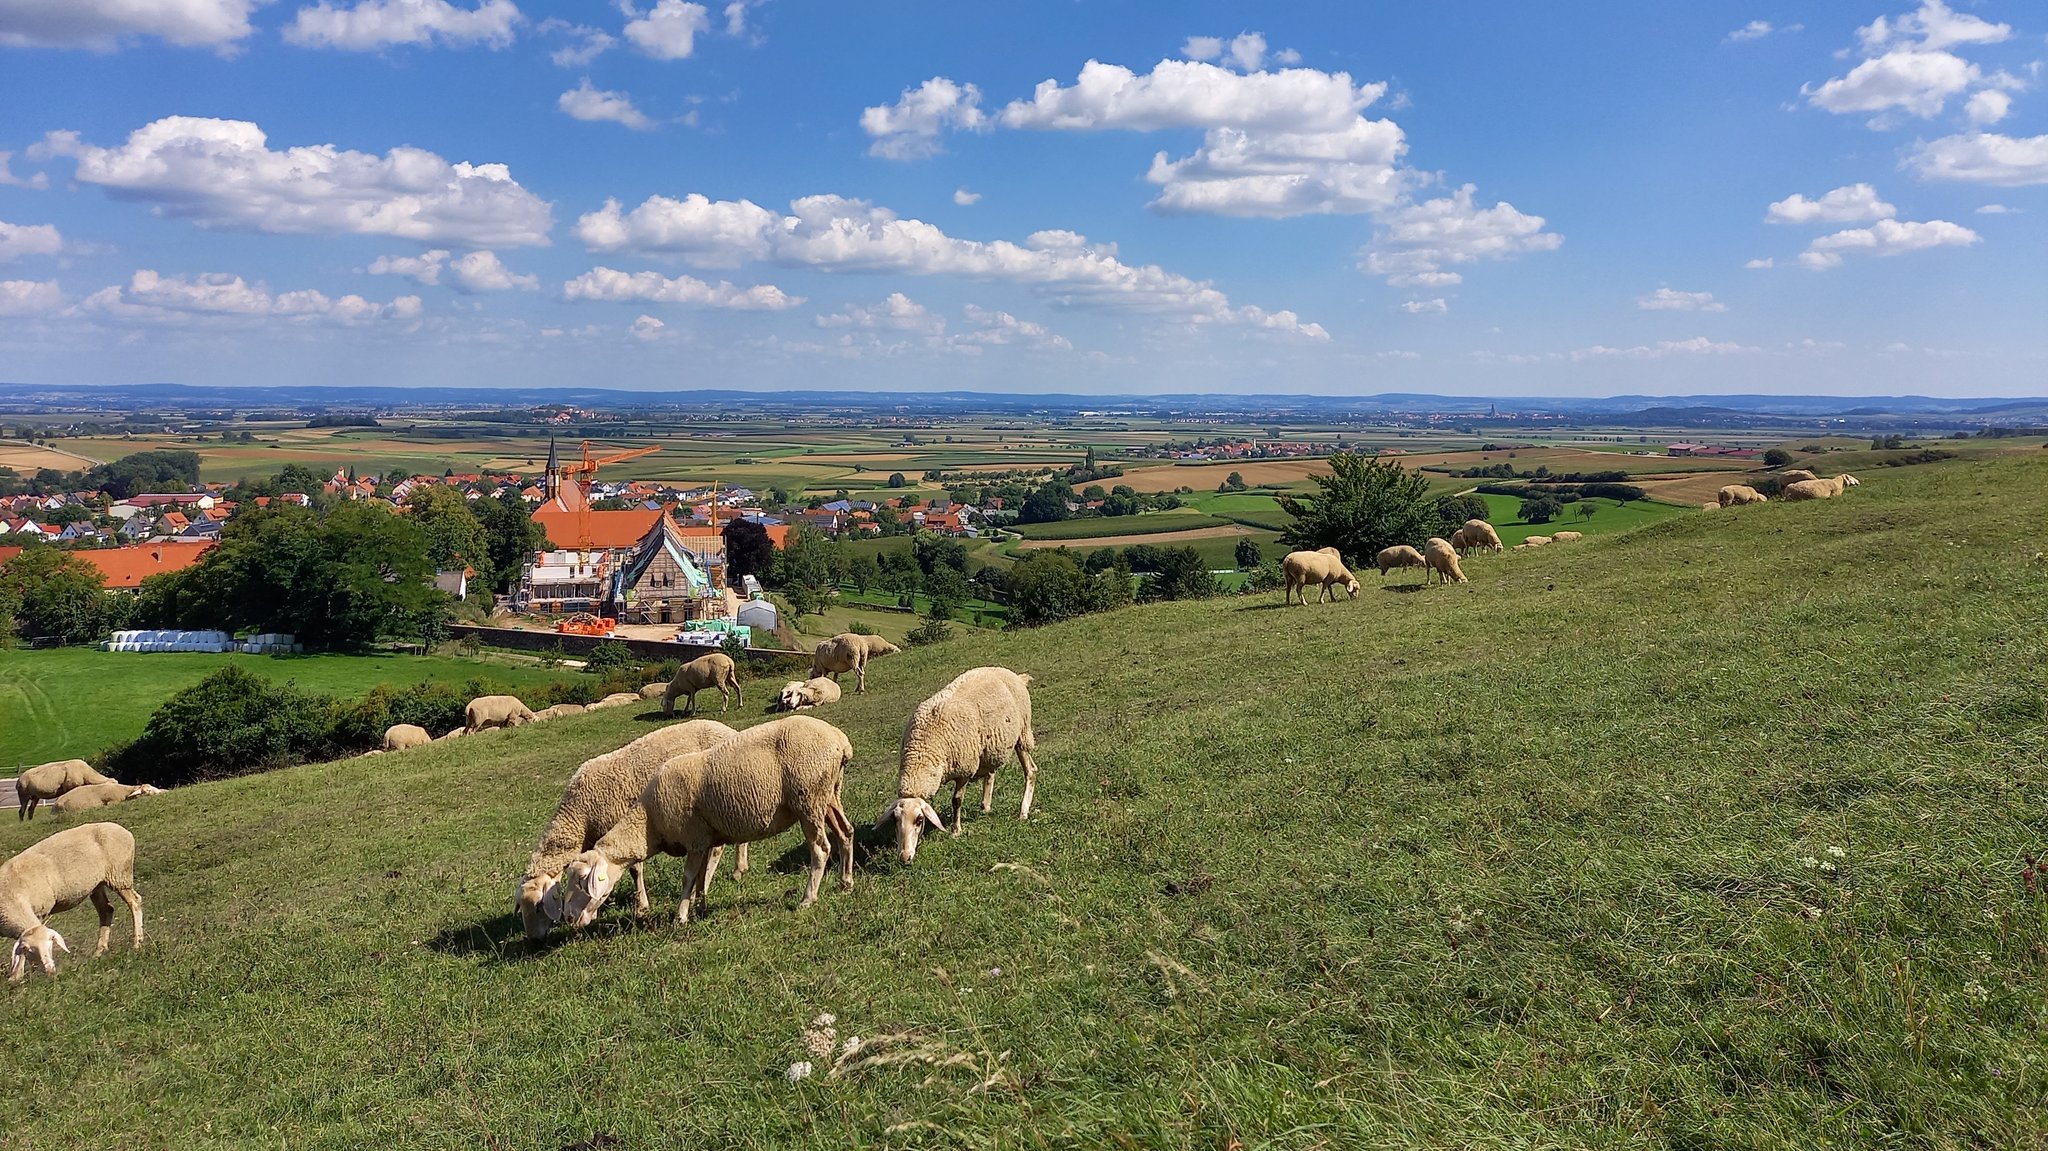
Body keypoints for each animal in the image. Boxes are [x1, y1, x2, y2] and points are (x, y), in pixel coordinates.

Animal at [1, 819, 143, 983]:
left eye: (51, 944)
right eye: (30, 949)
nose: (51, 971)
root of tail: (124, 831)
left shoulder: (40, 911)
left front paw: (16, 976)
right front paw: (16, 975)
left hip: (119, 875)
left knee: (134, 902)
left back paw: (137, 943)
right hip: (97, 883)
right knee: (106, 910)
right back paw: (99, 951)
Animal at [516, 716, 741, 942]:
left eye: (538, 906)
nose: (534, 941)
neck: (580, 814)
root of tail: (728, 730)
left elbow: (634, 870)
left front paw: (641, 906)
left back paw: (727, 875)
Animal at [552, 712, 856, 925]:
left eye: (582, 880)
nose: (568, 918)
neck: (650, 821)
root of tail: (840, 741)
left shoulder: (695, 839)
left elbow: (688, 877)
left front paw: (681, 915)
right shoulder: (706, 838)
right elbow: (699, 876)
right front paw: (700, 906)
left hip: (809, 800)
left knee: (821, 849)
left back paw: (808, 898)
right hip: (829, 795)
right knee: (846, 832)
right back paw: (846, 882)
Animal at [880, 663, 1040, 860]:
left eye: (919, 820)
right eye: (895, 820)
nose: (904, 857)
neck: (922, 750)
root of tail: (1016, 676)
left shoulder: (964, 769)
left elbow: (956, 800)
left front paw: (956, 831)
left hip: (1022, 734)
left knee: (1031, 770)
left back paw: (1023, 811)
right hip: (989, 748)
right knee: (991, 772)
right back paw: (985, 806)